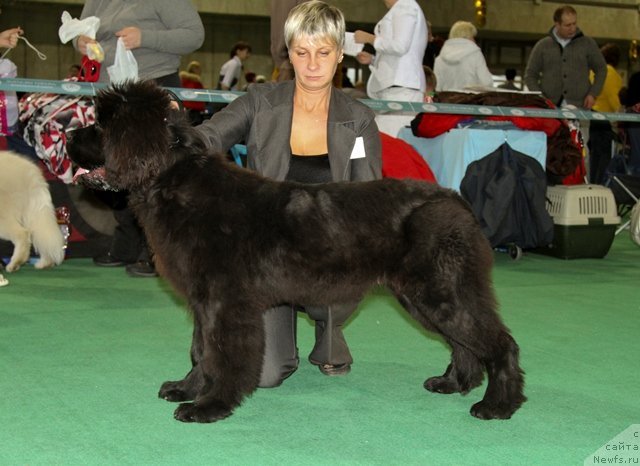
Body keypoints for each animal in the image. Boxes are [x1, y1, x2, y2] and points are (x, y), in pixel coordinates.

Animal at [66, 82, 524, 424]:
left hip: (440, 290)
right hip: (424, 295)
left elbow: (221, 352)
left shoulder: (226, 302)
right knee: (463, 343)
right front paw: (186, 388)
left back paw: (498, 405)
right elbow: (200, 349)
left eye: (101, 124)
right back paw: (452, 384)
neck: (174, 181)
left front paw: (210, 406)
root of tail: (457, 200)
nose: (69, 137)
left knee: (498, 342)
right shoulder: (203, 301)